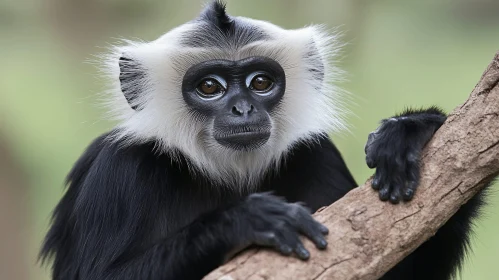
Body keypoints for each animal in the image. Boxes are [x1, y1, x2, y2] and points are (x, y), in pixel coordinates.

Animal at [42, 1, 488, 278]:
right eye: (209, 87)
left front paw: (412, 131)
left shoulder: (316, 153)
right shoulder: (119, 172)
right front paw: (243, 220)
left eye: (260, 83)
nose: (243, 109)